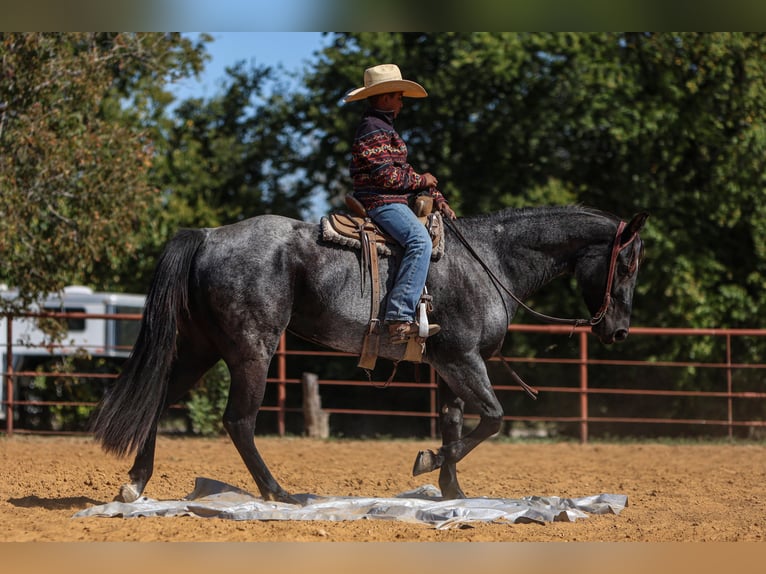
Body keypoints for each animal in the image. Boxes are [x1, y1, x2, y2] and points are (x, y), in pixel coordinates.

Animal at [93, 206, 652, 504]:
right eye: (627, 264)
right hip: (252, 349)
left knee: (159, 401)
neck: (490, 262)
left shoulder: (449, 365)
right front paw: (429, 463)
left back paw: (136, 484)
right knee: (239, 421)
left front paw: (452, 491)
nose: (619, 331)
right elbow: (492, 418)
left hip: (200, 348)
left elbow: (454, 422)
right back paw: (280, 493)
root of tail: (208, 236)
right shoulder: (464, 360)